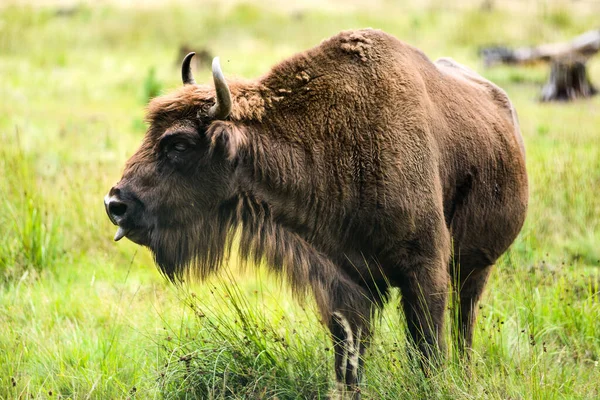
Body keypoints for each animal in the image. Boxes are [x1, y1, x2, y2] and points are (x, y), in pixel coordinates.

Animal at [105, 29, 528, 398]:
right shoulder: (344, 283)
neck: (334, 141)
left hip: (476, 267)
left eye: (178, 144)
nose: (116, 204)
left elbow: (427, 347)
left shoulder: (425, 271)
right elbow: (349, 359)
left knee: (463, 325)